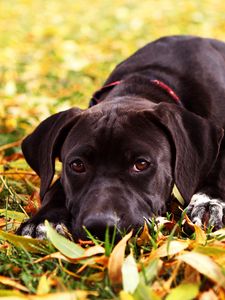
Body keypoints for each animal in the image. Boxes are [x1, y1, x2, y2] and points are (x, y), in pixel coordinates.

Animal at [17, 35, 225, 241]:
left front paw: (208, 201)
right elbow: (55, 187)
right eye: (77, 165)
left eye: (141, 164)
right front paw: (43, 221)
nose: (100, 227)